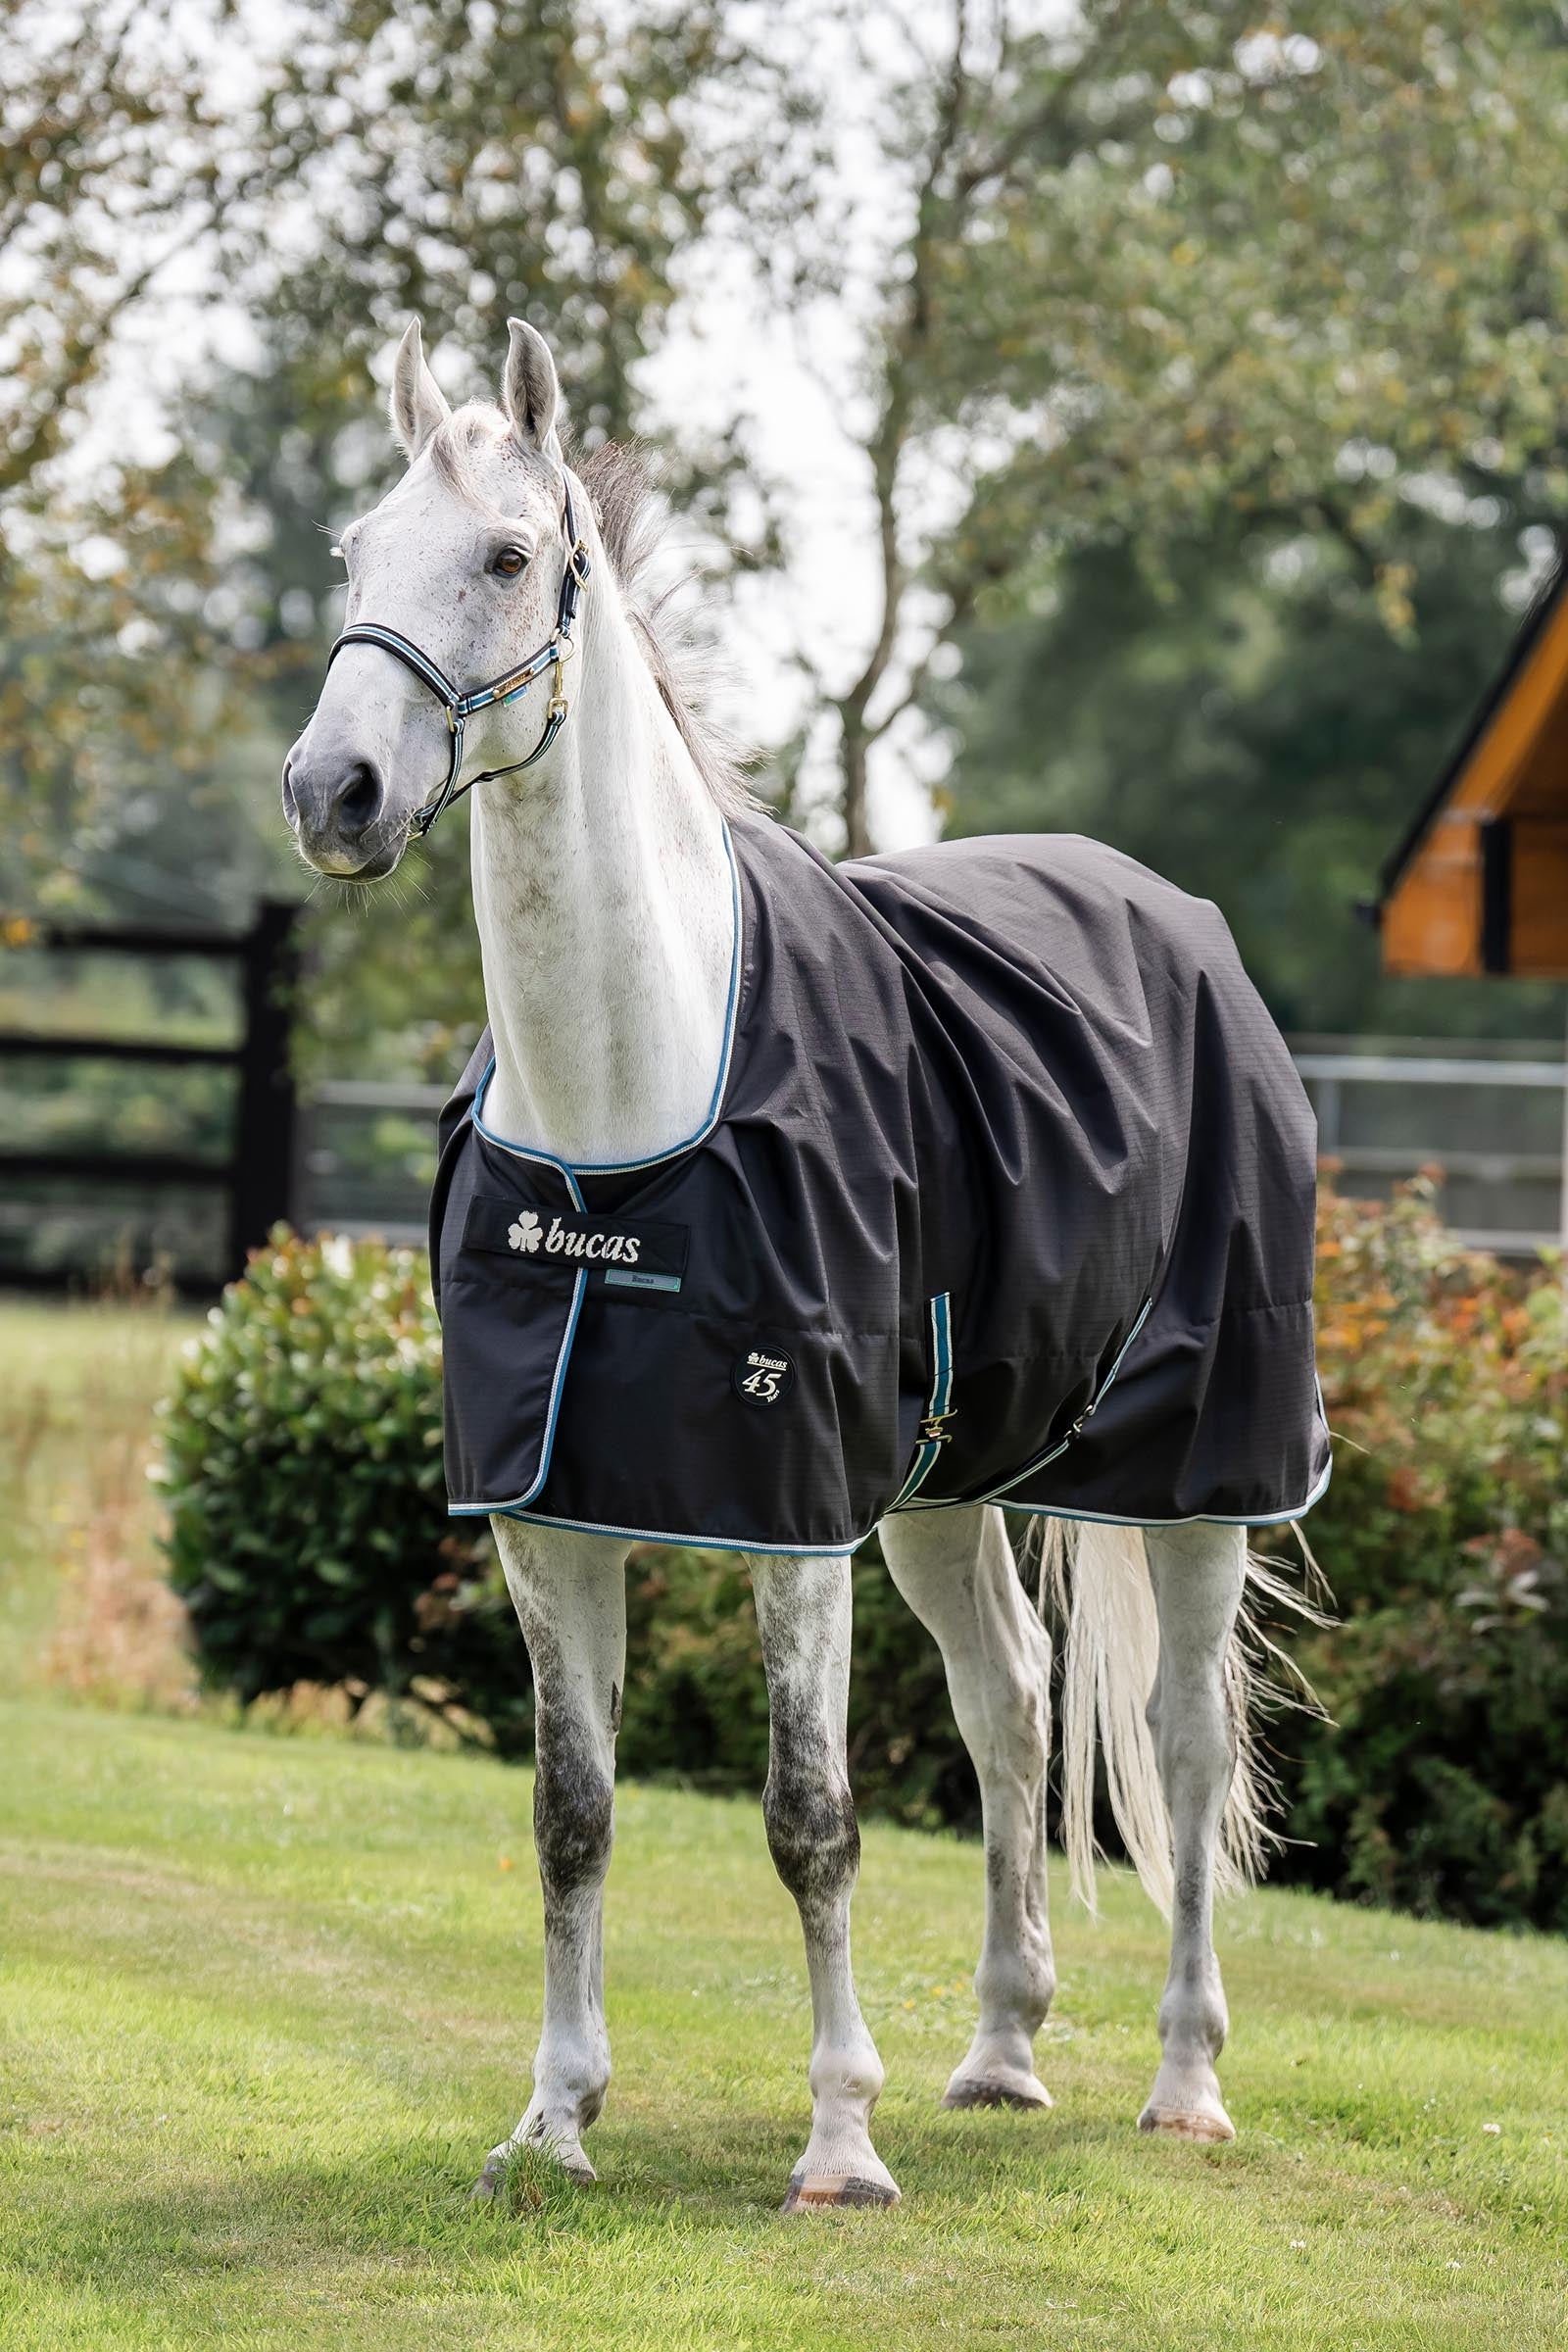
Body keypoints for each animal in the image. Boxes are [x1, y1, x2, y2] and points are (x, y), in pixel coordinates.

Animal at [283, 316, 1327, 2214]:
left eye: (508, 556)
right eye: (354, 557)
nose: (333, 794)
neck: (628, 1106)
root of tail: (1179, 922)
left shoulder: (789, 1522)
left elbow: (811, 1817)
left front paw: (838, 2141)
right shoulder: (550, 1520)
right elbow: (571, 1814)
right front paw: (553, 2122)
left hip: (1202, 1478)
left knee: (1181, 1738)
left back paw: (1184, 2083)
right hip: (939, 1495)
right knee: (1012, 1707)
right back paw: (1000, 2053)